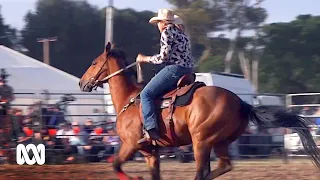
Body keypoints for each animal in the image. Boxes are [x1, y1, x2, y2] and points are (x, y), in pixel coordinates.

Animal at [79, 42, 320, 180]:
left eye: (94, 62)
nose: (82, 83)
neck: (129, 100)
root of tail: (241, 103)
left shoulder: (130, 145)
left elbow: (116, 166)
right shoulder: (150, 152)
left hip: (201, 140)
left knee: (202, 171)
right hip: (219, 142)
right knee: (223, 165)